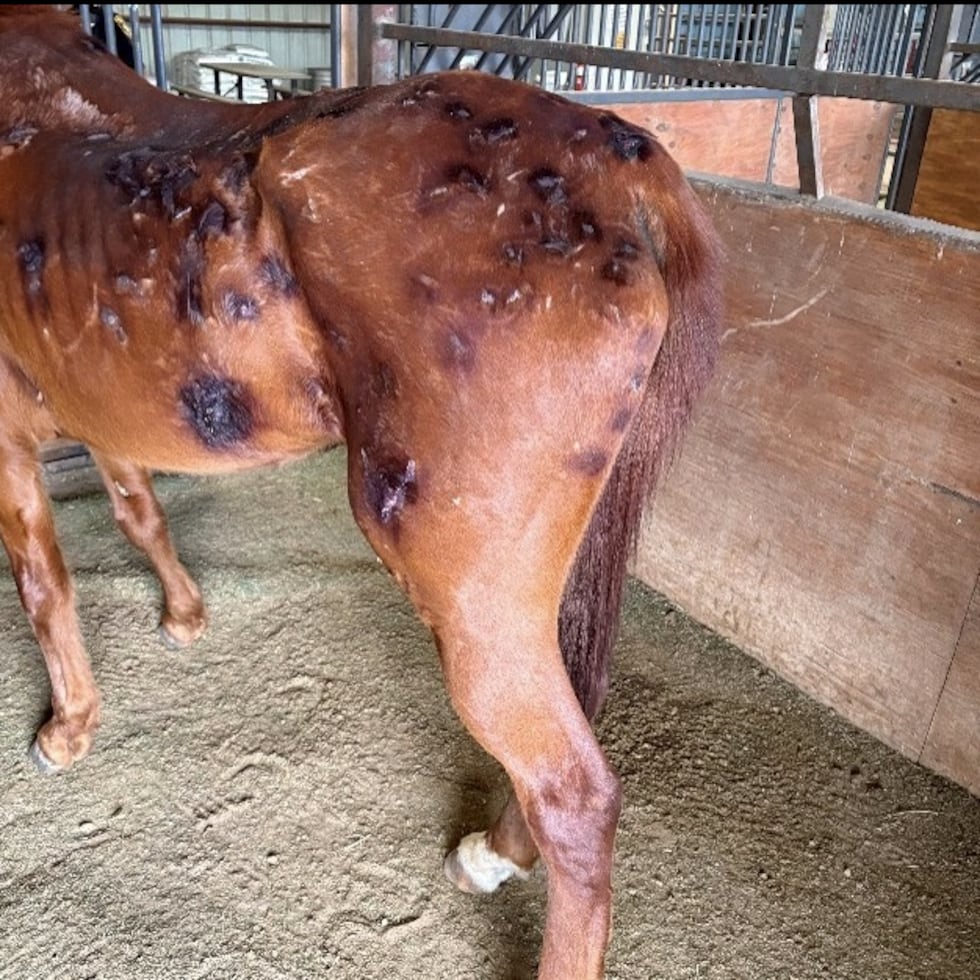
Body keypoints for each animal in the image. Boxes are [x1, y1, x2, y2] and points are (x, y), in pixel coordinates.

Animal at [0, 7, 721, 978]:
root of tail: (614, 157)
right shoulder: (105, 413)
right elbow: (137, 512)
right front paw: (184, 616)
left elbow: (45, 586)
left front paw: (68, 728)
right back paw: (496, 852)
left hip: (472, 598)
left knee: (573, 794)